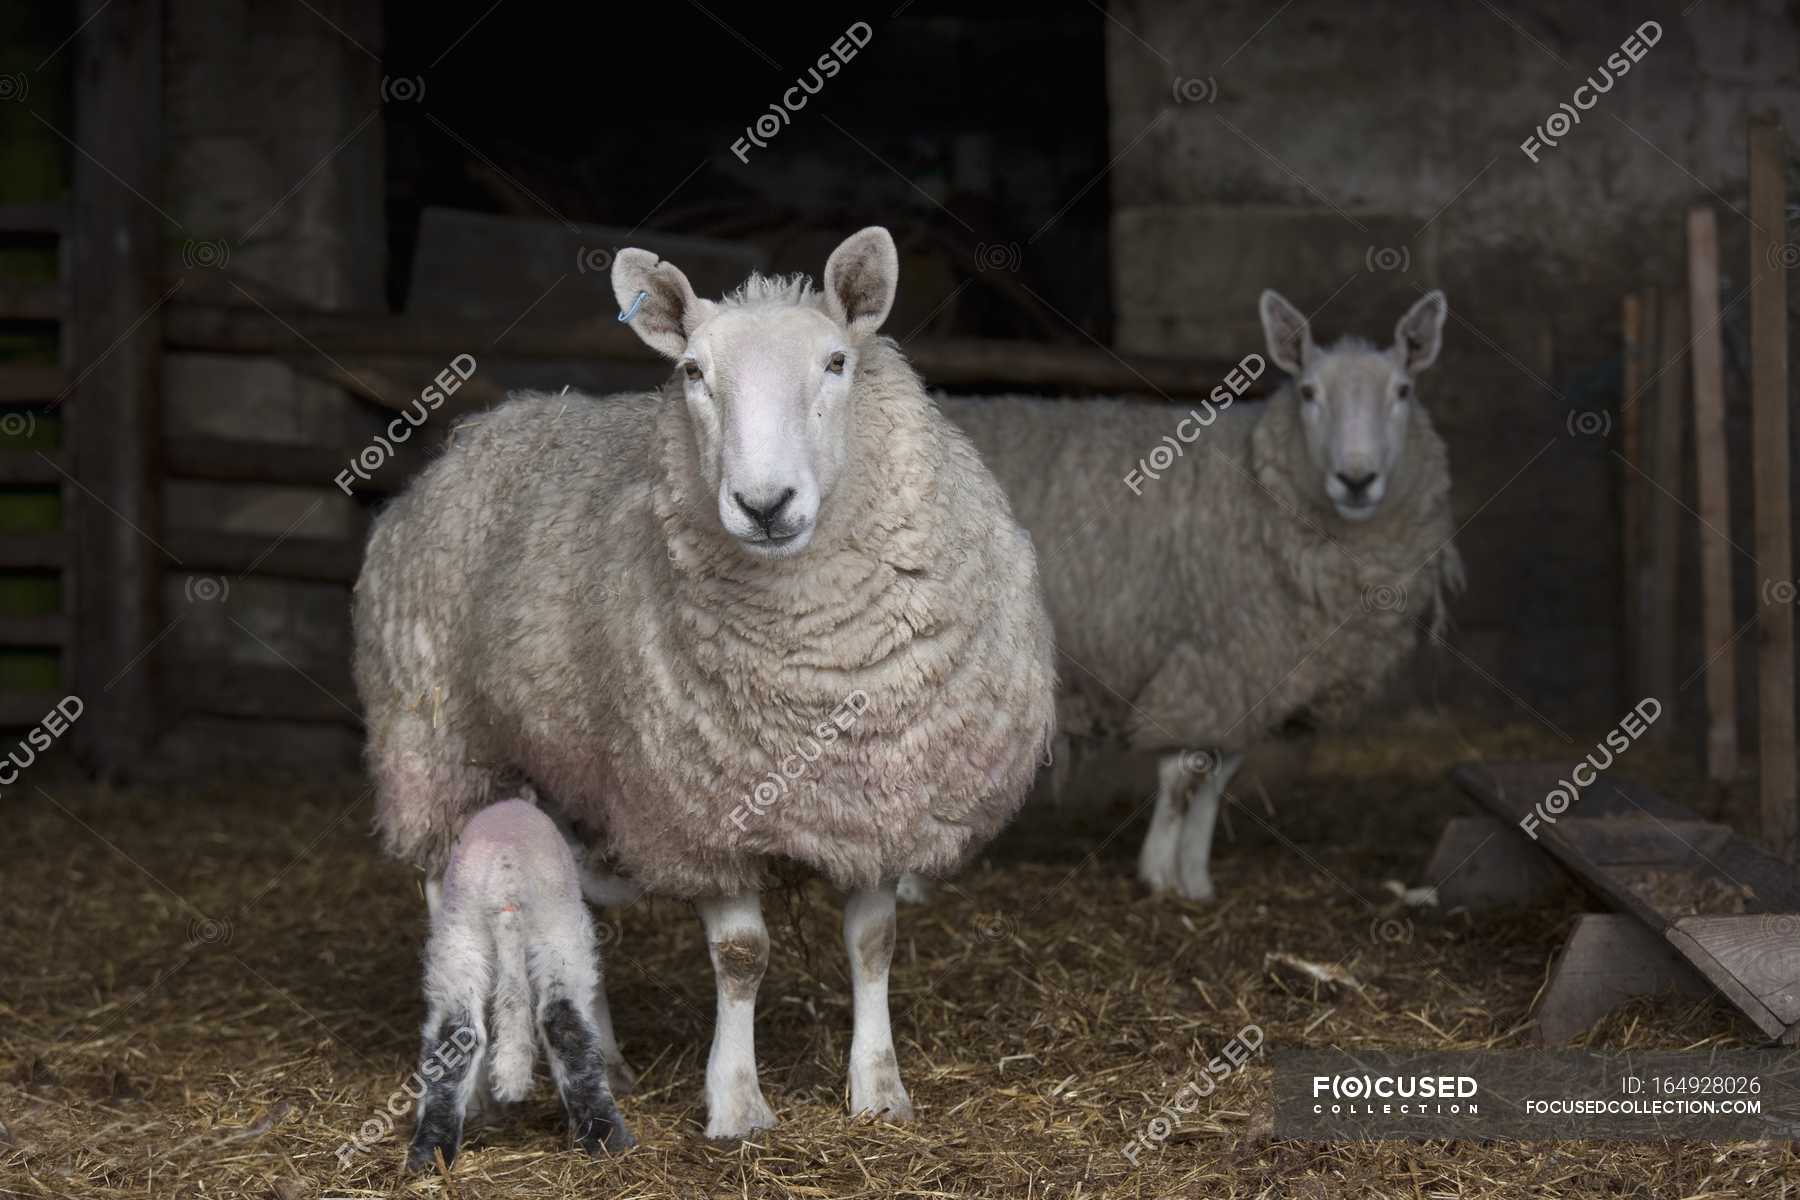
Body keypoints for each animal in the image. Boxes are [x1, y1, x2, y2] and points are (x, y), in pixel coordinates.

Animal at [408, 798, 633, 1173]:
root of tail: (506, 883)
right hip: (559, 938)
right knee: (564, 1023)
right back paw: (610, 1138)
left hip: (459, 943)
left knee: (457, 1035)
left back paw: (430, 1151)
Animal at [943, 291, 1461, 899]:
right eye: (1309, 392)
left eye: (1402, 391)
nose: (1356, 480)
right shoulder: (1204, 661)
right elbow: (1181, 776)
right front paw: (1160, 874)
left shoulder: (1249, 676)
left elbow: (1217, 778)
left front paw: (1195, 877)